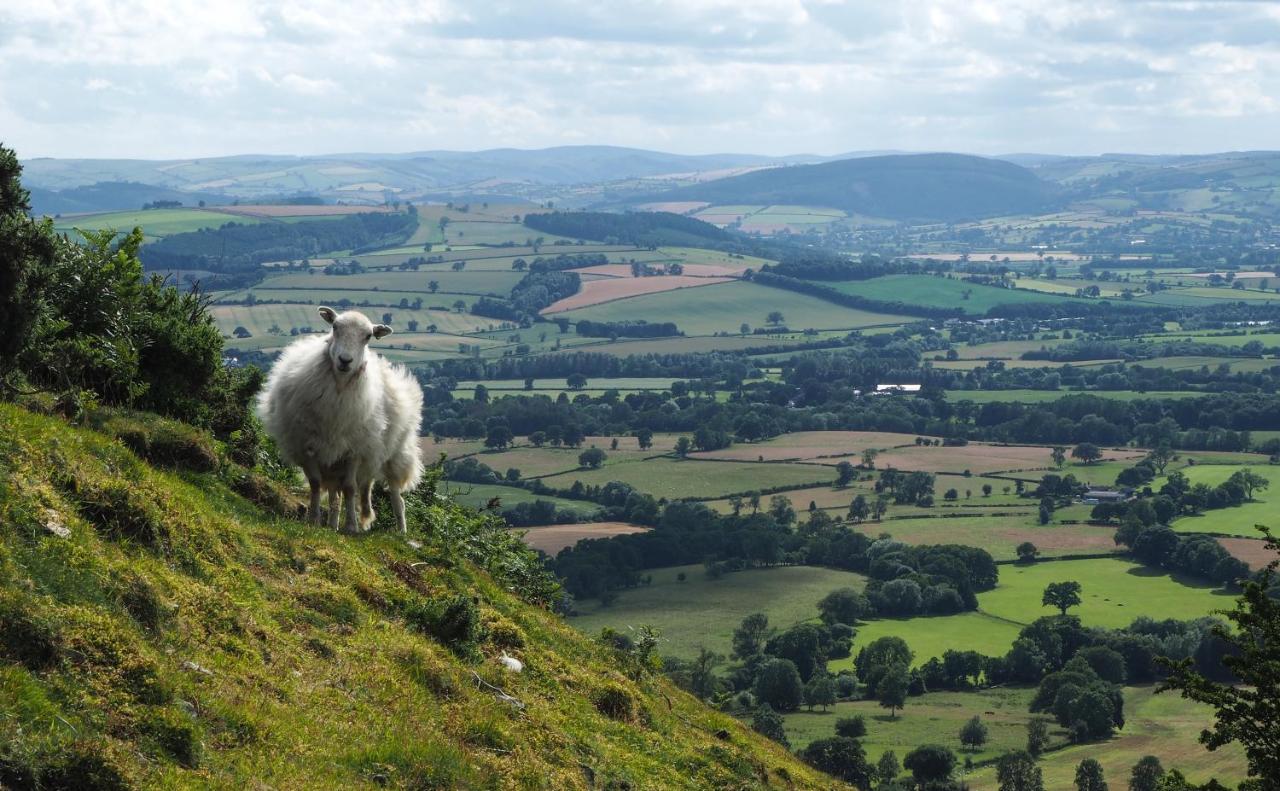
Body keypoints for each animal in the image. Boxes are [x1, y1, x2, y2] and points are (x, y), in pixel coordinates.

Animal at [256, 304, 424, 532]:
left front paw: (351, 526)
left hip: (394, 453)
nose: (345, 360)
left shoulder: (354, 449)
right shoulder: (308, 444)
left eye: (368, 336)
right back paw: (333, 523)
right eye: (335, 327)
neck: (339, 388)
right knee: (338, 494)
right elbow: (316, 483)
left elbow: (350, 487)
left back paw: (401, 531)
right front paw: (314, 520)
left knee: (396, 495)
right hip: (340, 459)